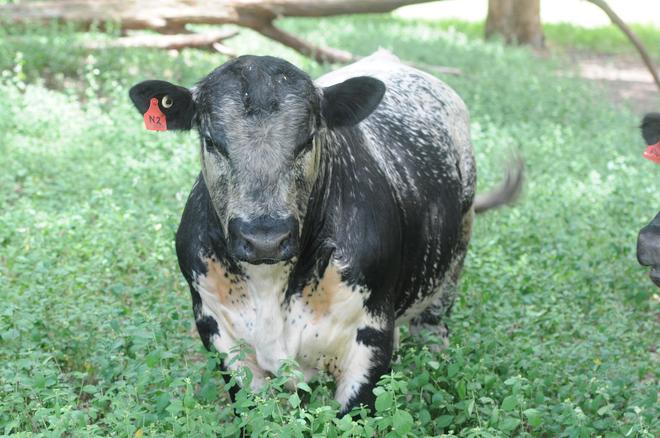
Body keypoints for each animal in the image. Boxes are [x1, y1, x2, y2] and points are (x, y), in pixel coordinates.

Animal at [129, 51, 522, 415]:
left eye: (307, 139)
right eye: (212, 141)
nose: (264, 239)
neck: (270, 284)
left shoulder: (371, 340)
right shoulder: (220, 335)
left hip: (452, 264)